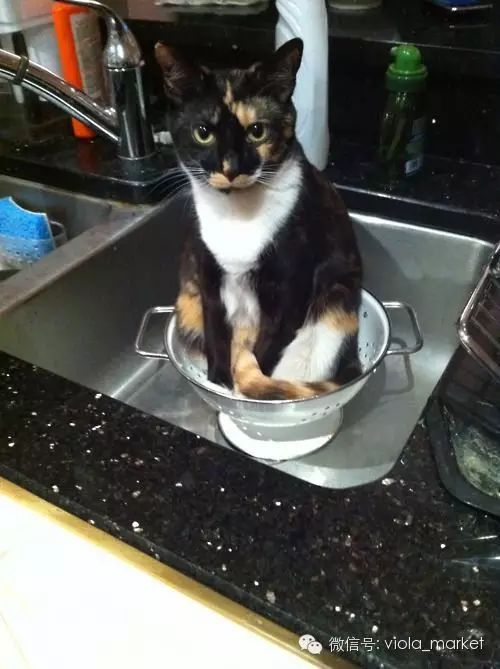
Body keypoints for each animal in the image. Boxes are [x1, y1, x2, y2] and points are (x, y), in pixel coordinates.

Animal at [155, 38, 363, 401]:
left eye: (257, 131)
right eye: (203, 132)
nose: (230, 167)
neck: (237, 214)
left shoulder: (292, 289)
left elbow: (268, 348)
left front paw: (242, 386)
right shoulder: (207, 278)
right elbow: (216, 334)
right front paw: (219, 381)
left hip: (333, 309)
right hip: (188, 303)